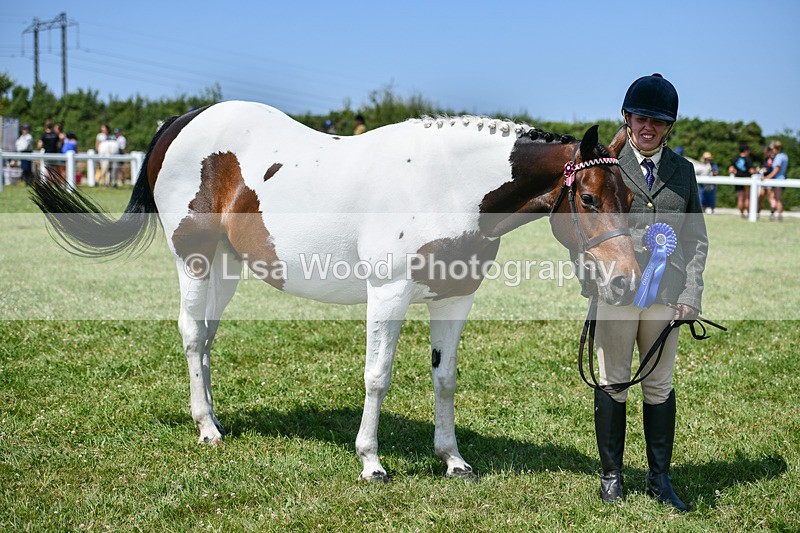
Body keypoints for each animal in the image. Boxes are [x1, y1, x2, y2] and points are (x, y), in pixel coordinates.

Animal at [31, 101, 640, 483]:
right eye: (588, 198)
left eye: (631, 198)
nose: (626, 279)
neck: (446, 184)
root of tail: (185, 120)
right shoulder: (388, 294)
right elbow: (378, 377)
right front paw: (371, 462)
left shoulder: (454, 298)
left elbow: (444, 379)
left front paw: (453, 461)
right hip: (194, 261)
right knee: (189, 335)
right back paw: (206, 429)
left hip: (228, 268)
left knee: (205, 337)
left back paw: (215, 420)